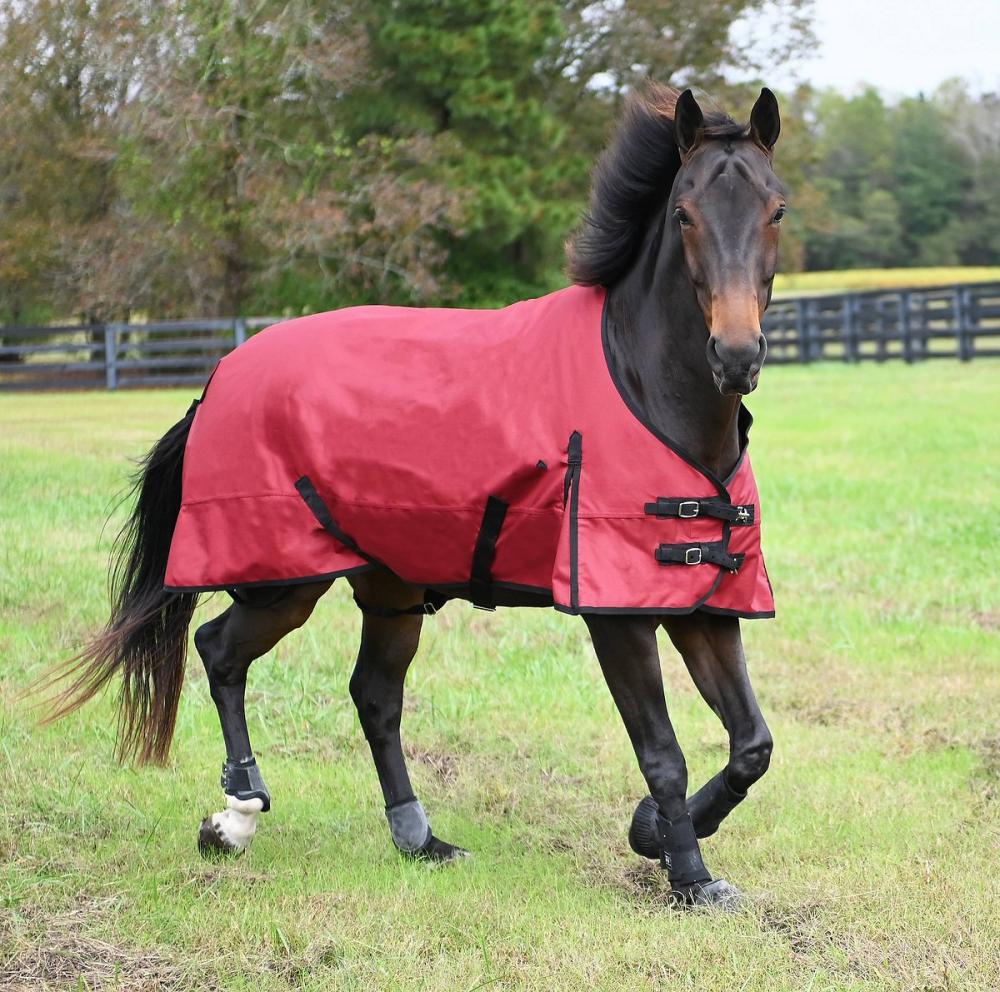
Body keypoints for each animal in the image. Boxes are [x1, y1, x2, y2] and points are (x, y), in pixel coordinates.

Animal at [52, 85, 788, 908]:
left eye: (776, 209)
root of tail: (221, 375)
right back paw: (237, 814)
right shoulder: (616, 614)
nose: (736, 355)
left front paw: (653, 833)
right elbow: (662, 750)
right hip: (286, 581)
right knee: (219, 651)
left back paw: (417, 837)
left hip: (390, 587)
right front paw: (688, 874)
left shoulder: (702, 605)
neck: (645, 386)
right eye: (684, 214)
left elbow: (751, 745)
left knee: (373, 695)